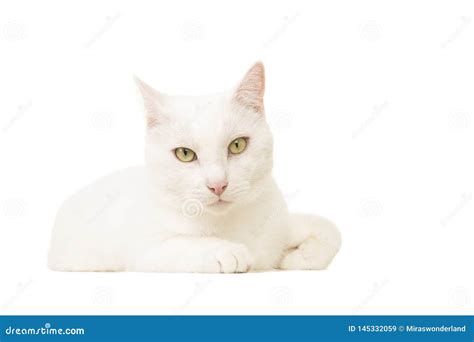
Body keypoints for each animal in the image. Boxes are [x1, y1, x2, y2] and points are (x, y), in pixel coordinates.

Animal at [48, 62, 342, 272]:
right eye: (185, 154)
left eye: (237, 145)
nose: (218, 185)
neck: (229, 224)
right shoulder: (148, 251)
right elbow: (186, 244)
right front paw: (229, 251)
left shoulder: (280, 222)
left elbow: (329, 228)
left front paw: (298, 257)